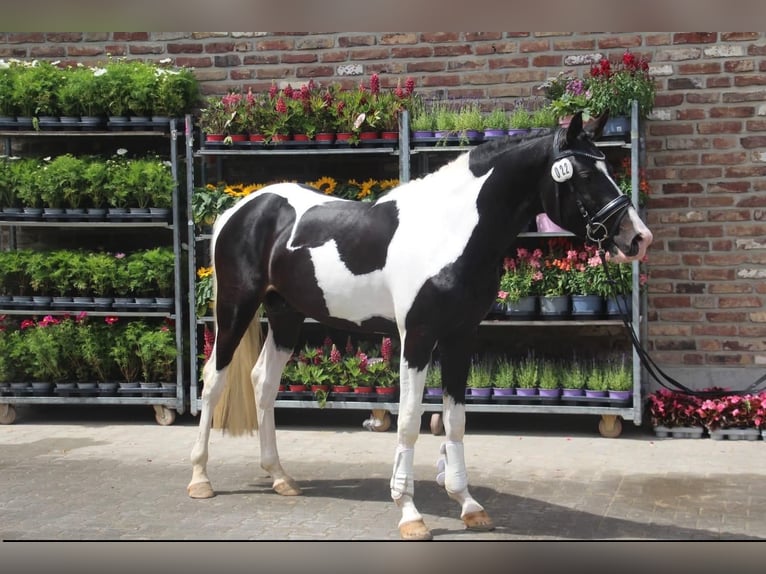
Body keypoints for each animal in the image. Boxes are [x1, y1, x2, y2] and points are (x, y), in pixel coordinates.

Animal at [187, 112, 653, 541]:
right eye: (587, 173)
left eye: (609, 168)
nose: (638, 238)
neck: (449, 231)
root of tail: (240, 210)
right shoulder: (417, 339)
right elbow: (410, 419)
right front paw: (410, 513)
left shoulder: (460, 337)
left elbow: (455, 419)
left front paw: (468, 505)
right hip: (234, 310)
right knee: (214, 379)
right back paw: (200, 478)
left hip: (286, 316)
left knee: (263, 382)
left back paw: (281, 477)